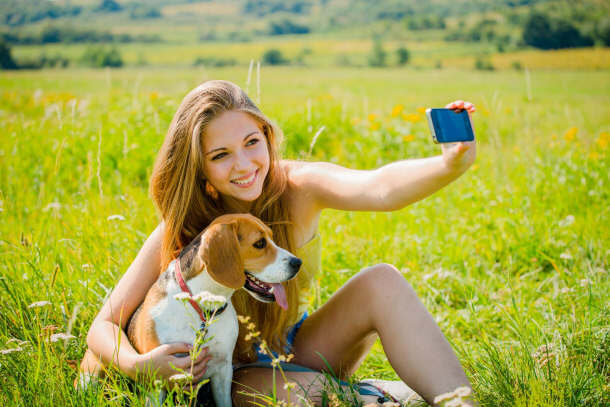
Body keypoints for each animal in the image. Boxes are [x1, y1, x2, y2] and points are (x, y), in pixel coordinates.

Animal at [78, 214, 302, 407]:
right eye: (260, 243)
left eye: (271, 238)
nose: (297, 263)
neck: (204, 308)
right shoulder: (156, 379)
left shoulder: (223, 371)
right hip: (92, 374)